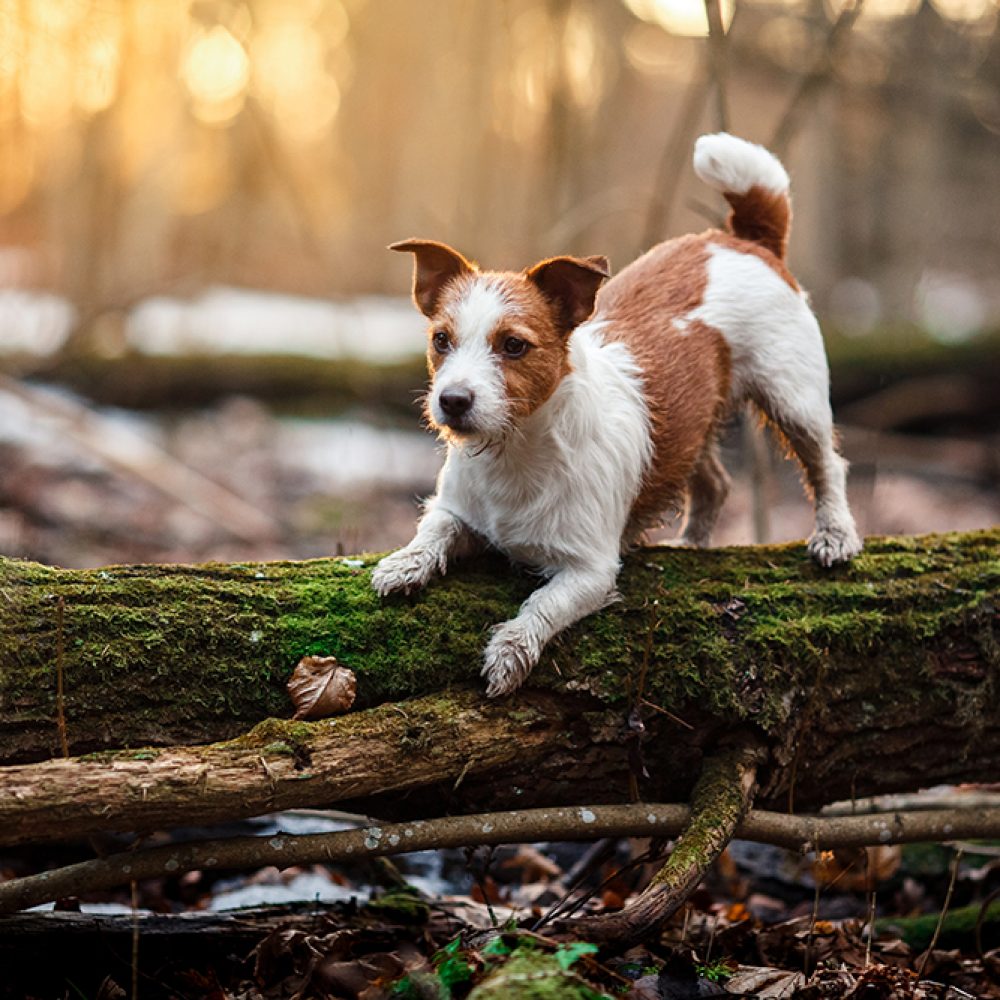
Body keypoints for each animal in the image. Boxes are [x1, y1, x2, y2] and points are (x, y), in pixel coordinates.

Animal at [372, 133, 864, 696]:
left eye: (514, 345)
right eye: (440, 340)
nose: (452, 400)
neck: (516, 451)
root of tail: (744, 240)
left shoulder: (590, 571)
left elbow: (542, 604)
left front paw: (510, 652)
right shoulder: (456, 510)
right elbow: (433, 530)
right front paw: (404, 564)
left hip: (793, 396)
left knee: (826, 463)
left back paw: (835, 534)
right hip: (691, 422)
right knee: (715, 483)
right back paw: (692, 544)